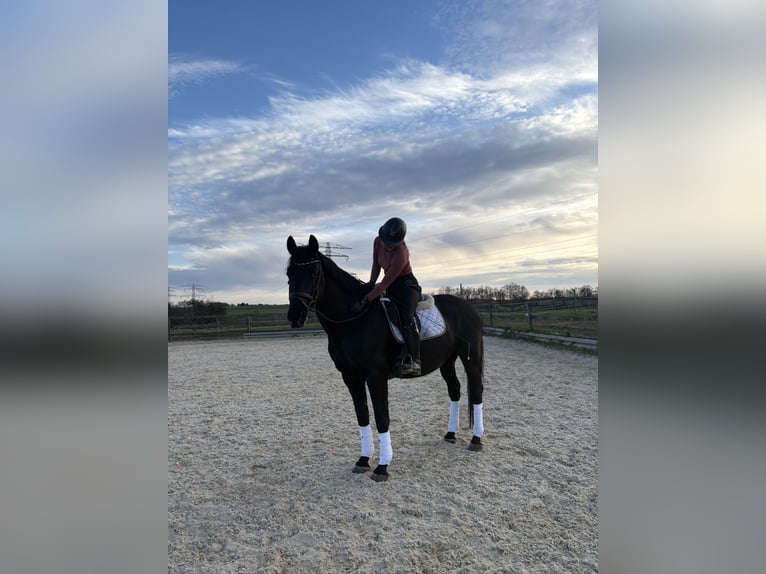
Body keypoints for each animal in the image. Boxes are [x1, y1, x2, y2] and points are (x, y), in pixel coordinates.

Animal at [286, 235, 485, 481]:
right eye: (289, 274)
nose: (295, 316)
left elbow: (382, 417)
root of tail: (468, 307)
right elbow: (362, 416)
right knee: (455, 390)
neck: (354, 320)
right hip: (446, 361)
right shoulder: (350, 377)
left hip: (471, 359)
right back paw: (450, 434)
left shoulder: (375, 376)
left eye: (313, 274)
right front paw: (363, 460)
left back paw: (476, 439)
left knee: (476, 391)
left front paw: (382, 466)